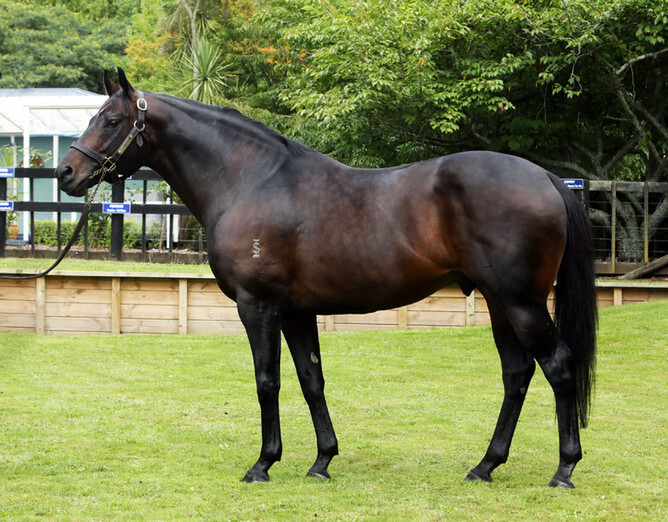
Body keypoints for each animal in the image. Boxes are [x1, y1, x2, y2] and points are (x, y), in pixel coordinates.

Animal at [55, 68, 597, 488]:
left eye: (111, 120)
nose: (66, 173)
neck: (250, 180)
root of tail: (545, 178)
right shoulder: (297, 311)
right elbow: (311, 380)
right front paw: (321, 461)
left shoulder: (258, 306)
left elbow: (267, 381)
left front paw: (263, 464)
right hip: (499, 302)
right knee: (517, 374)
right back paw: (485, 466)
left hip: (521, 301)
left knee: (558, 367)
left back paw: (564, 470)